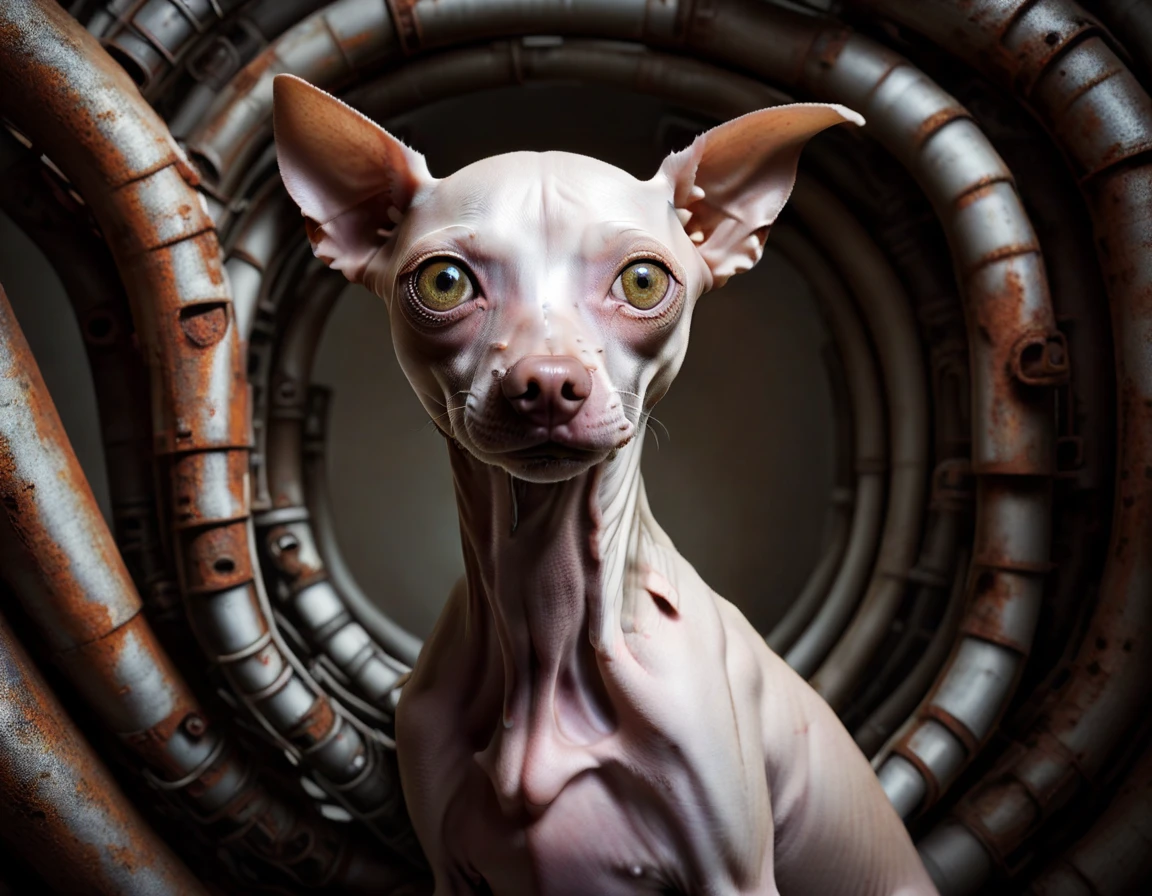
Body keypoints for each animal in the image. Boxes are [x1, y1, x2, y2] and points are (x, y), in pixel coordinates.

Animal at [274, 76, 940, 893]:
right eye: (444, 280)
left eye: (644, 280)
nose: (546, 384)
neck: (547, 613)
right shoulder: (450, 876)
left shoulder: (734, 876)